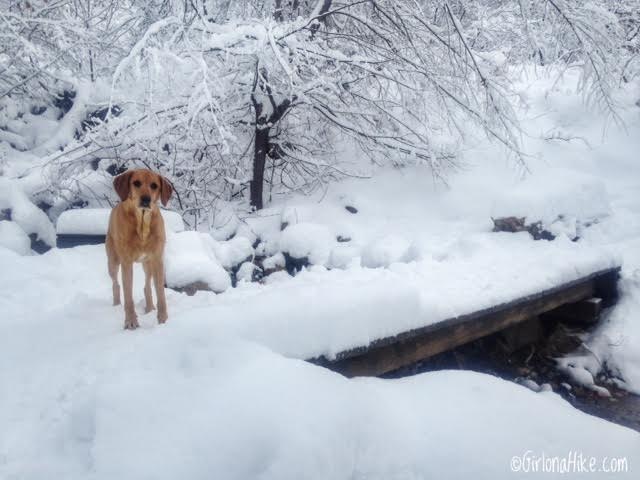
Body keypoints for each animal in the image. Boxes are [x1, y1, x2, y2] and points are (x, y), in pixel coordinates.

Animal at [106, 169, 174, 330]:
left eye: (154, 185)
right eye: (136, 183)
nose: (146, 199)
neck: (142, 224)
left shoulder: (157, 259)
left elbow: (161, 294)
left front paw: (163, 320)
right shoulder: (126, 262)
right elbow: (128, 296)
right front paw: (130, 321)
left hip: (147, 264)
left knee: (147, 286)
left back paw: (149, 308)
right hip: (113, 261)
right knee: (116, 284)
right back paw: (116, 304)